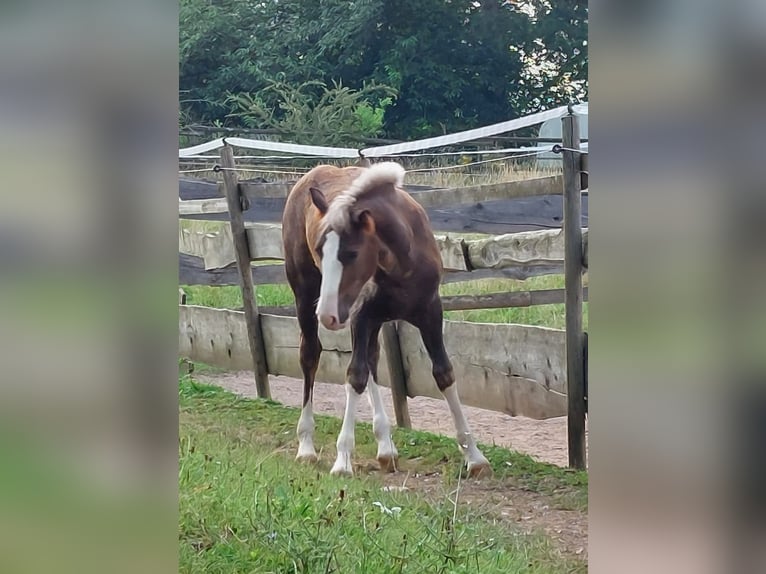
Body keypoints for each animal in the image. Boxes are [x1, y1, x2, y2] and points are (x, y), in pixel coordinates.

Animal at [282, 161, 492, 476]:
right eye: (319, 249)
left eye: (352, 253)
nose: (328, 315)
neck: (402, 264)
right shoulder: (361, 316)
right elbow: (354, 376)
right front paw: (342, 460)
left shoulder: (429, 313)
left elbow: (444, 373)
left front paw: (474, 456)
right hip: (307, 299)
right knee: (311, 355)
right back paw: (306, 446)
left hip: (370, 321)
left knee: (371, 359)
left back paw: (386, 448)